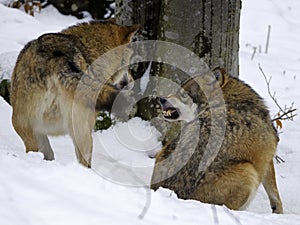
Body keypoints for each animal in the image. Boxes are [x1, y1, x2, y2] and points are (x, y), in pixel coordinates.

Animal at [10, 22, 139, 168]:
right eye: (128, 65)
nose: (132, 82)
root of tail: (56, 59)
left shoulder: (39, 133)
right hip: (85, 135)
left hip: (26, 129)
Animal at [151, 68, 282, 213]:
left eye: (184, 94)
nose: (161, 99)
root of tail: (174, 194)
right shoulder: (268, 157)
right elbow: (275, 194)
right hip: (248, 170)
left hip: (163, 152)